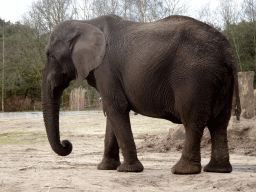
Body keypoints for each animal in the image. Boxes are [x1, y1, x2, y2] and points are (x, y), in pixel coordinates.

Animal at [41, 14, 240, 175]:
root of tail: (228, 52)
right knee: (220, 123)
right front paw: (105, 168)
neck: (85, 22)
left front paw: (127, 170)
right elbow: (112, 112)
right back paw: (217, 170)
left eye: (50, 56)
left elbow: (116, 107)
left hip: (195, 77)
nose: (67, 144)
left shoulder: (106, 68)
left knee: (193, 120)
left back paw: (182, 171)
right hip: (220, 81)